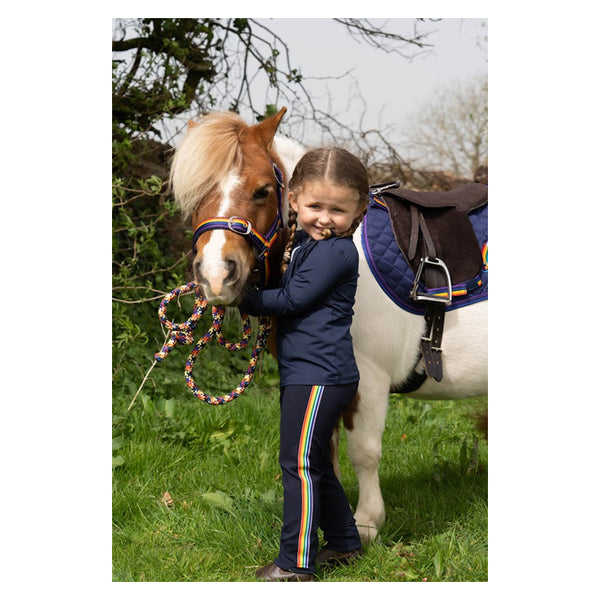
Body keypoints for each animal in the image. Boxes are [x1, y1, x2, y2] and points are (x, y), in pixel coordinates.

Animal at [169, 108, 488, 544]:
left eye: (262, 191)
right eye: (196, 195)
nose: (217, 277)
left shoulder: (367, 377)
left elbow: (363, 452)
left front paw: (367, 523)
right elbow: (326, 451)